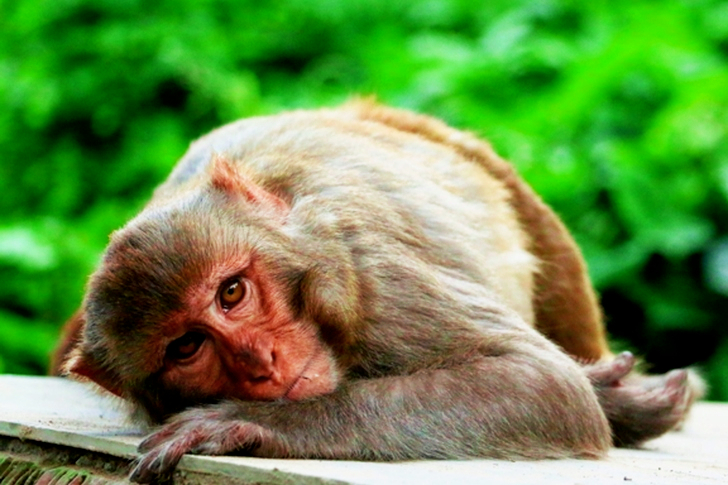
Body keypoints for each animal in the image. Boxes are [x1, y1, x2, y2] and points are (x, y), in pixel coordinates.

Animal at [56, 101, 702, 483]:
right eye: (186, 347)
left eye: (231, 293)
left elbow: (540, 384)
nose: (262, 362)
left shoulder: (363, 263)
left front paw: (245, 422)